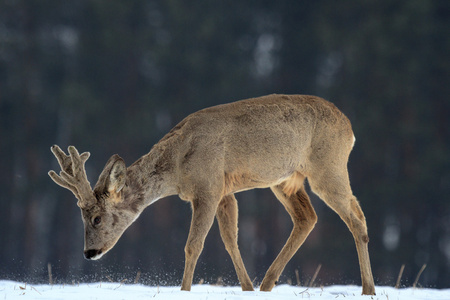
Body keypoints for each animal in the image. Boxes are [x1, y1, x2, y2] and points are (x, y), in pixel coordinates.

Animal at [47, 94, 374, 296]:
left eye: (97, 218)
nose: (89, 253)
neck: (178, 166)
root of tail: (350, 128)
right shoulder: (224, 191)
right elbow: (230, 240)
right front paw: (247, 288)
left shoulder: (208, 187)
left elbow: (194, 245)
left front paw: (184, 290)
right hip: (283, 180)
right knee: (307, 217)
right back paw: (267, 284)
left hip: (328, 166)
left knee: (357, 218)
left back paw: (368, 289)